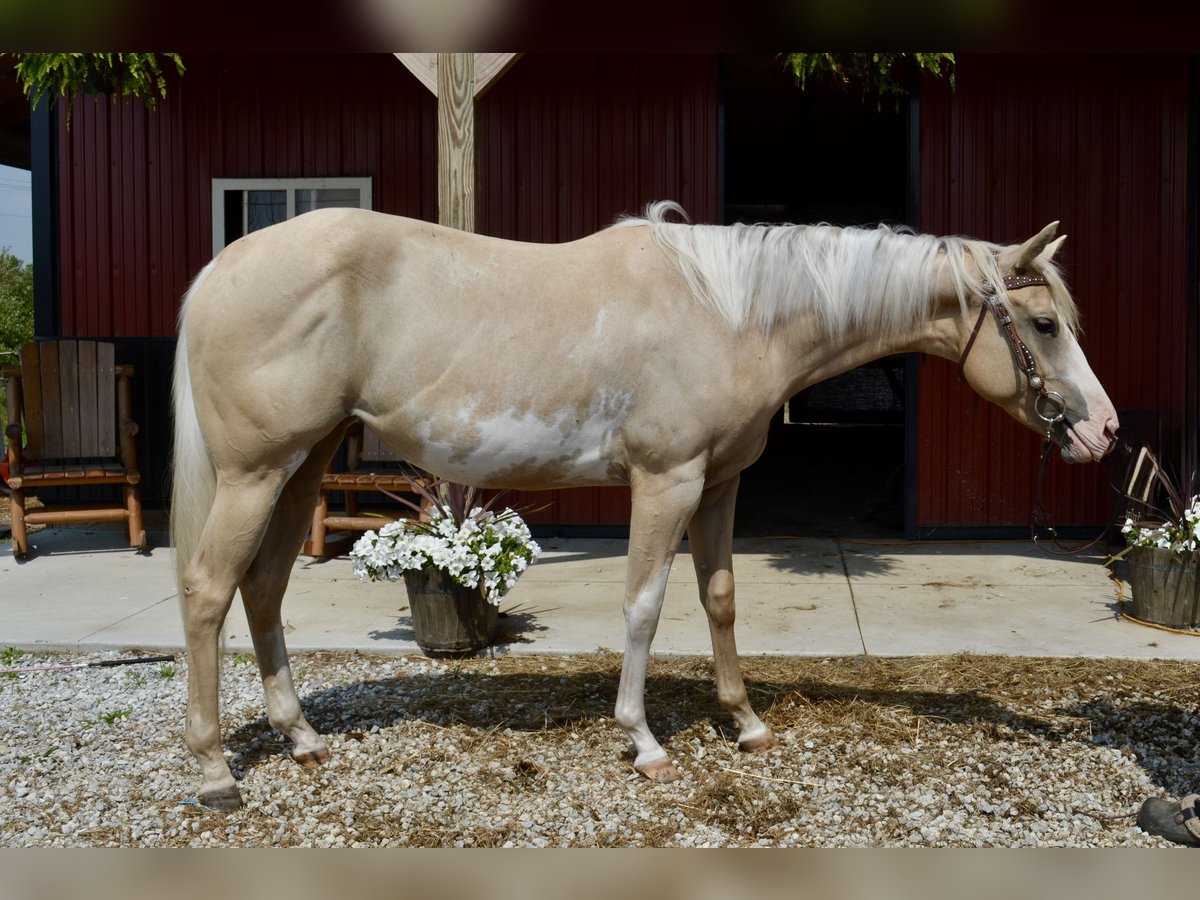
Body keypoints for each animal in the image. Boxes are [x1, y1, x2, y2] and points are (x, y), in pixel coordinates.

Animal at [171, 201, 1119, 810]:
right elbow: (645, 604)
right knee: (211, 591)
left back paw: (301, 738)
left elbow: (720, 598)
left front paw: (746, 724)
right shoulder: (667, 480)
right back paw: (216, 773)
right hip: (256, 472)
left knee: (263, 588)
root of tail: (222, 265)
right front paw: (645, 741)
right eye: (1043, 325)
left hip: (303, 465)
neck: (729, 313)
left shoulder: (722, 483)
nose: (1103, 430)